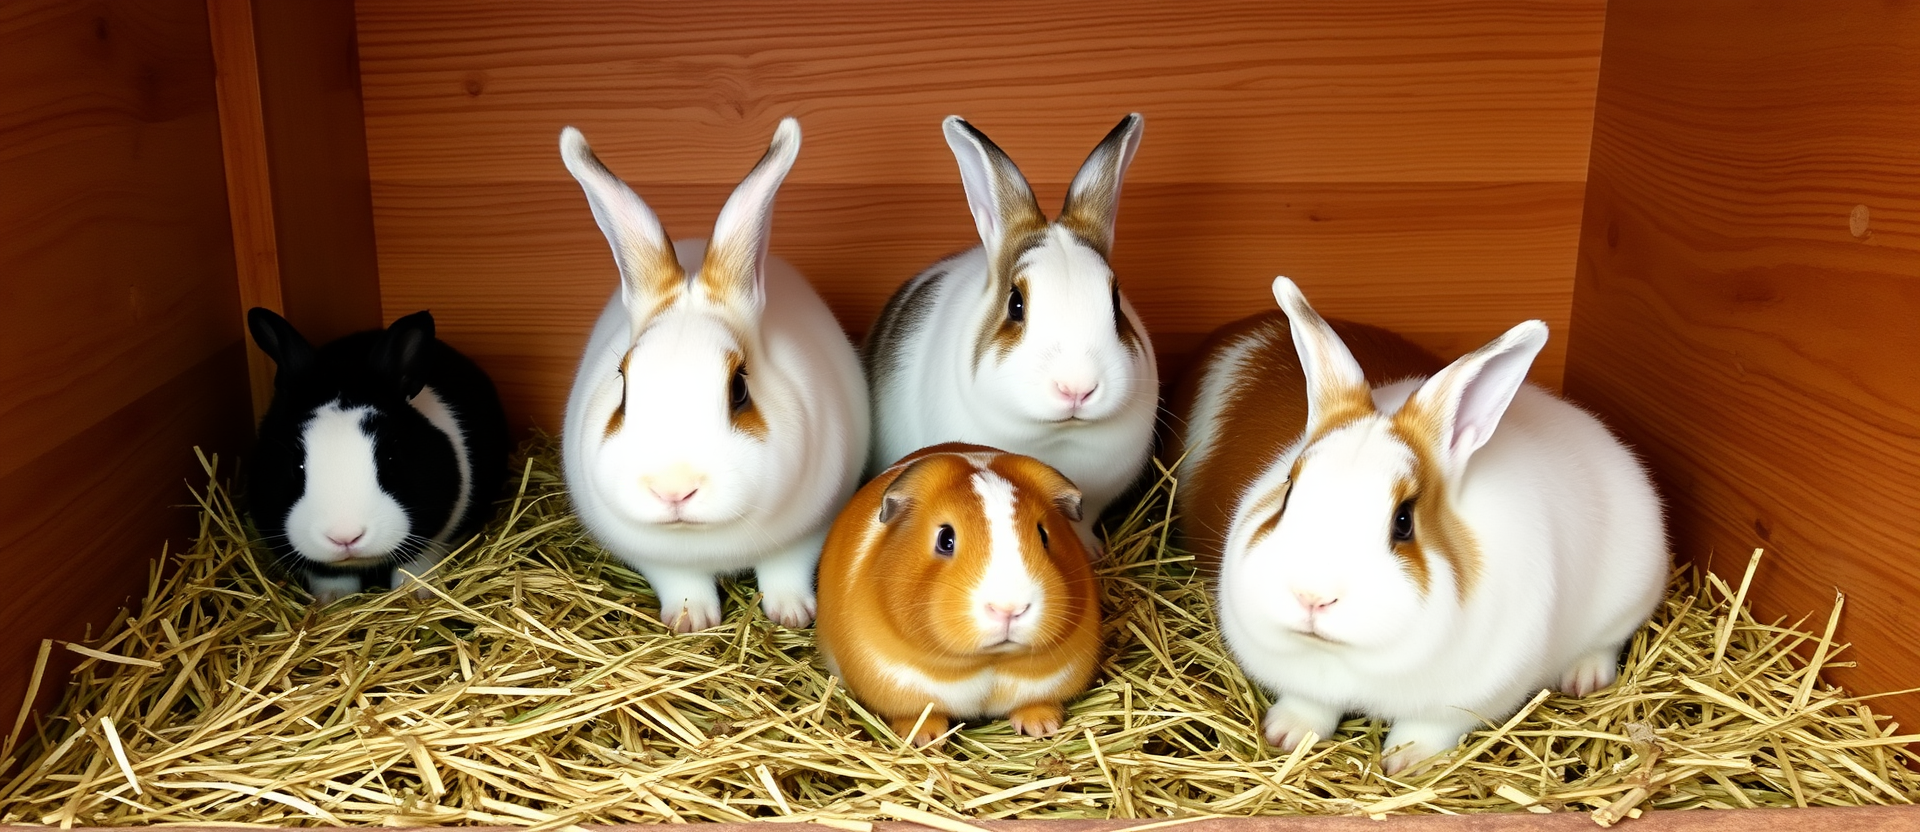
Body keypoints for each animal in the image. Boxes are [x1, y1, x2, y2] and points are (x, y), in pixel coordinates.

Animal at [246, 308, 510, 604]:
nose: (345, 537)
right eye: (297, 466)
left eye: (391, 459)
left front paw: (415, 595)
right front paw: (330, 602)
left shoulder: (431, 544)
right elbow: (331, 577)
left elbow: (415, 566)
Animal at [558, 118, 869, 633]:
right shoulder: (658, 559)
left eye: (739, 388)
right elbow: (683, 582)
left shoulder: (809, 531)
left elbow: (785, 570)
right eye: (623, 386)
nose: (673, 489)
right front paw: (691, 622)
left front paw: (792, 614)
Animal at [816, 443, 1101, 747]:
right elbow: (920, 714)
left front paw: (1042, 727)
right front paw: (925, 740)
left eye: (1044, 535)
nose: (1009, 608)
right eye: (945, 539)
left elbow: (1036, 703)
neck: (989, 662)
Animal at [1208, 277, 1667, 774]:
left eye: (1404, 522)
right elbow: (1310, 705)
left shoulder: (1458, 705)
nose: (1312, 597)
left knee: (1607, 641)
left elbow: (1426, 730)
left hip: (1627, 597)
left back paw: (1585, 677)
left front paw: (1405, 763)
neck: (1345, 656)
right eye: (1289, 492)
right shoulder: (1306, 685)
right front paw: (1286, 735)